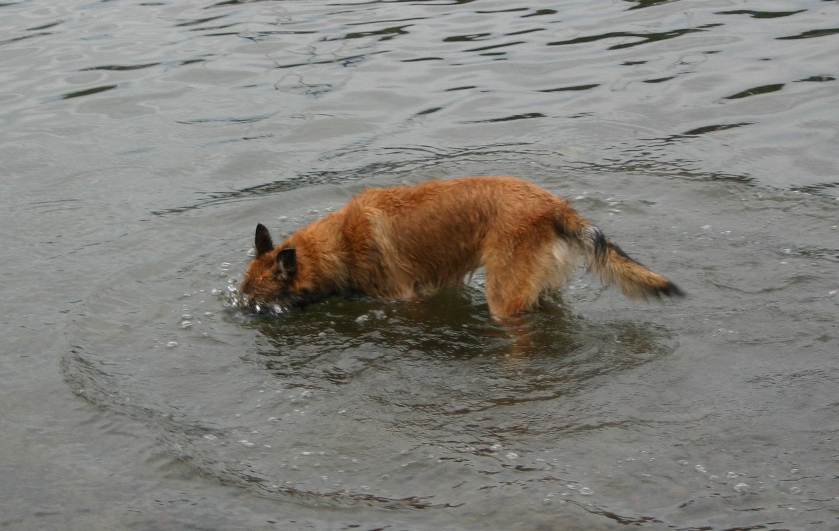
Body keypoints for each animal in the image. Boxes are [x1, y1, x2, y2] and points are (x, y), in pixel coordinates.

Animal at [240, 178, 684, 320]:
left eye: (256, 303)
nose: (237, 316)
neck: (339, 244)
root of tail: (553, 207)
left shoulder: (405, 299)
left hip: (502, 299)